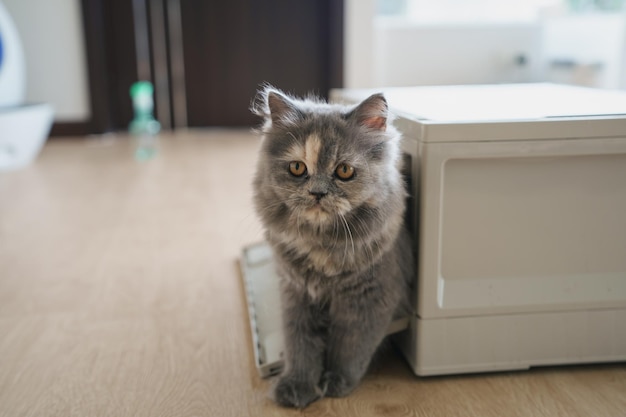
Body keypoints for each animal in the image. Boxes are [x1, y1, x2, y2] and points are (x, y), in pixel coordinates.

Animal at [251, 86, 412, 408]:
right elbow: (299, 344)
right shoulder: (295, 292)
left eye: (345, 171)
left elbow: (350, 346)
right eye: (297, 168)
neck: (321, 244)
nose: (317, 193)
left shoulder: (370, 297)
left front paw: (336, 382)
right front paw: (297, 386)